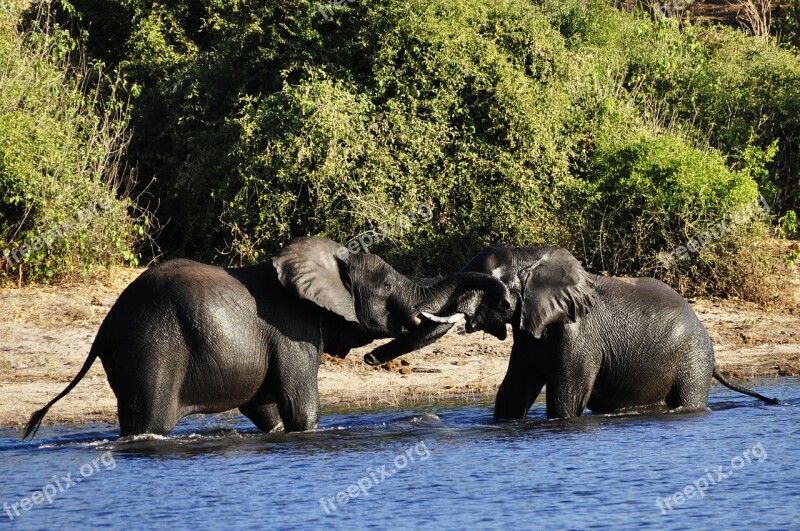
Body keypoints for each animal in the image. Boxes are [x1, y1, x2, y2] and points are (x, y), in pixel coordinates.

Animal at [26, 239, 512, 438]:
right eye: (390, 288)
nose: (375, 360)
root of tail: (103, 329)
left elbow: (266, 410)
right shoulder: (293, 332)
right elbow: (301, 407)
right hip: (151, 349)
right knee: (151, 422)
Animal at [366, 245, 780, 420]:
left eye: (490, 286)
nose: (369, 358)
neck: (534, 257)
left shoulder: (578, 334)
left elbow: (565, 396)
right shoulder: (531, 329)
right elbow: (512, 391)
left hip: (692, 360)